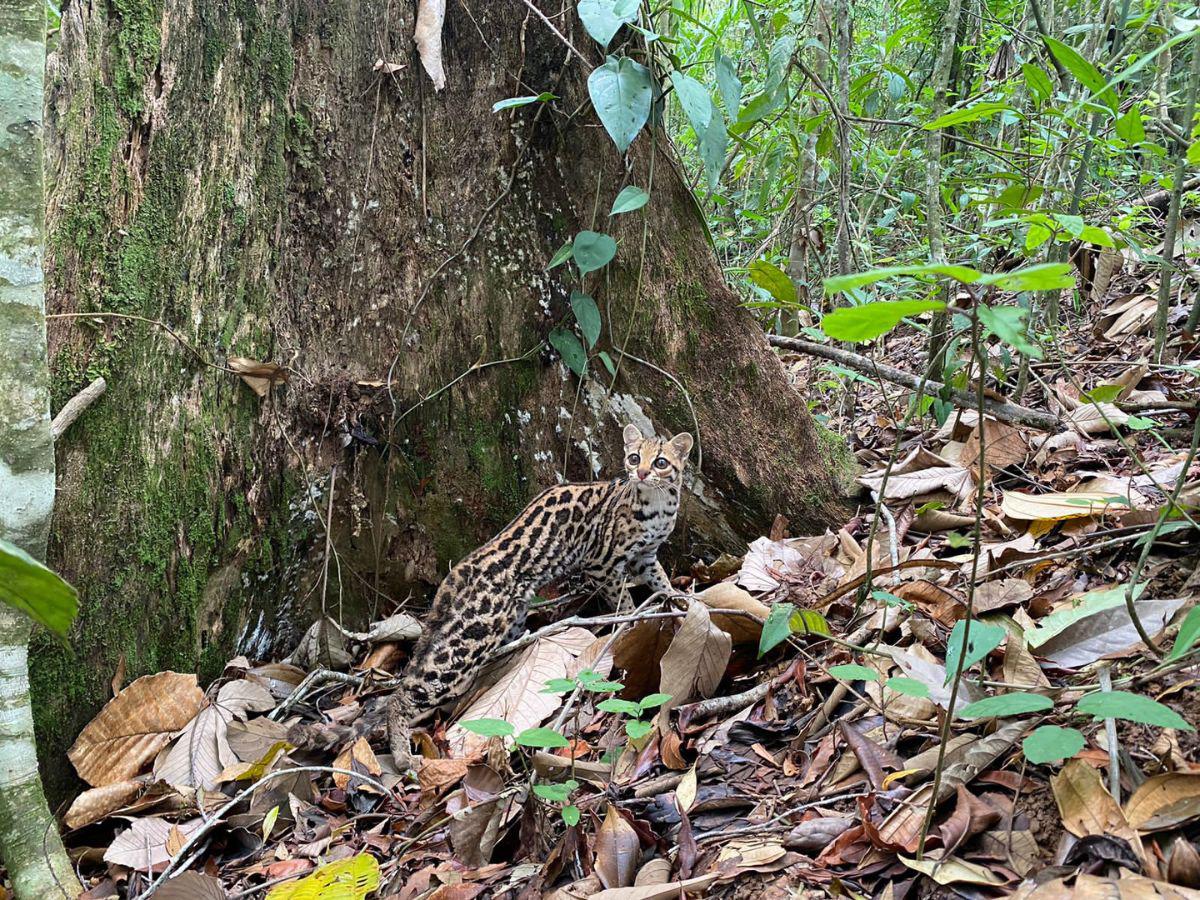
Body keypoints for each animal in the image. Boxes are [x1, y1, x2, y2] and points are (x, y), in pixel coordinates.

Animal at [391, 424, 696, 768]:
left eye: (660, 462)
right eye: (634, 457)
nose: (641, 472)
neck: (657, 505)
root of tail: (459, 572)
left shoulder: (645, 557)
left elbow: (662, 581)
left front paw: (681, 600)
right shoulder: (600, 564)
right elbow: (623, 602)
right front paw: (631, 623)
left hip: (509, 623)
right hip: (469, 641)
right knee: (403, 693)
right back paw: (401, 753)